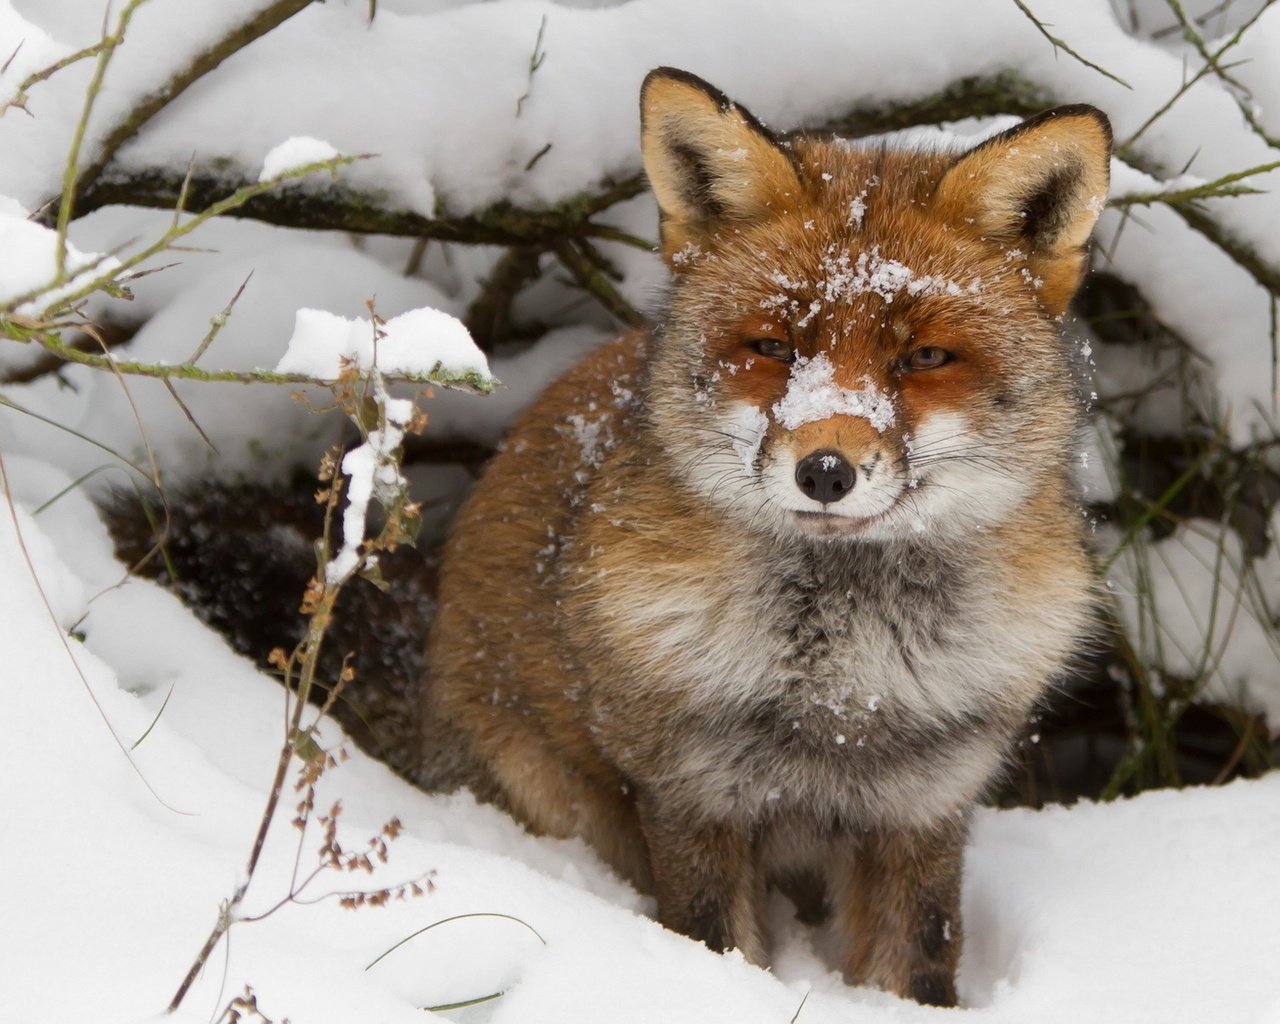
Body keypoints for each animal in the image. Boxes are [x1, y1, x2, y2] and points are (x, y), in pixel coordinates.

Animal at [430, 67, 1111, 1003]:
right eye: (774, 346)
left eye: (924, 359)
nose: (826, 471)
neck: (842, 690)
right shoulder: (693, 794)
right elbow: (716, 946)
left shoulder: (925, 804)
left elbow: (919, 963)